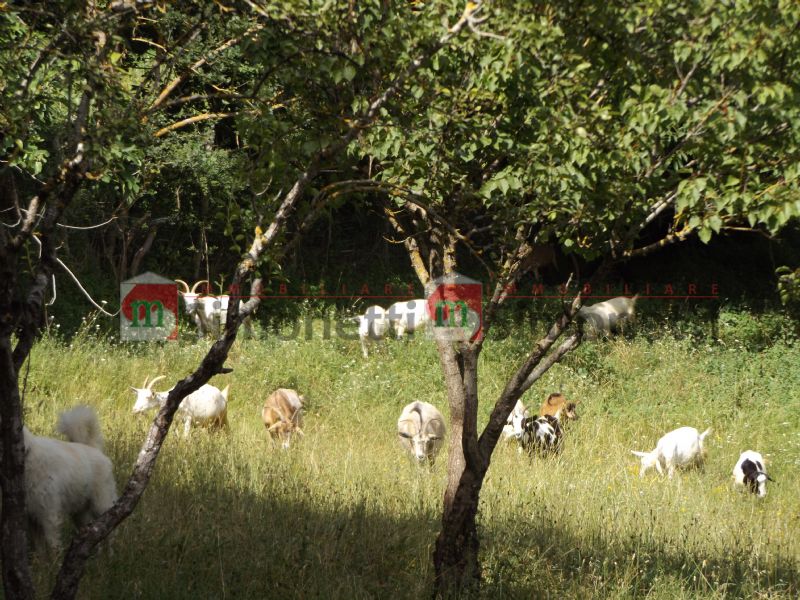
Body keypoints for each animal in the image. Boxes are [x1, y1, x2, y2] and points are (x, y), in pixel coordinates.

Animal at [22, 406, 117, 552]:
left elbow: (52, 545)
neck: (27, 455)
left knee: (109, 532)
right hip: (80, 514)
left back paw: (111, 555)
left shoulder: (49, 515)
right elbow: (40, 550)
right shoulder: (31, 517)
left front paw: (56, 558)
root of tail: (94, 448)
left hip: (102, 505)